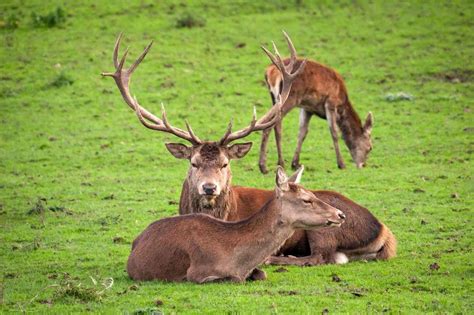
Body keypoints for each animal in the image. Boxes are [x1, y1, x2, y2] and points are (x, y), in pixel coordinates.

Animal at [103, 32, 396, 270]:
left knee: (320, 257)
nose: (209, 188)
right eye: (194, 163)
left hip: (324, 229)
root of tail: (384, 231)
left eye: (225, 163)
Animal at [128, 168, 346, 284]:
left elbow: (262, 273)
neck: (236, 260)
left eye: (313, 194)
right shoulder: (197, 273)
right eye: (306, 200)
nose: (340, 214)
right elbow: (234, 278)